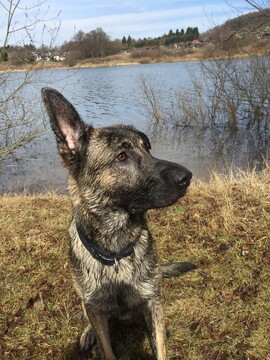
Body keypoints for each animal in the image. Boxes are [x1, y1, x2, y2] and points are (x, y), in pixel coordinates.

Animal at [41, 88, 194, 360]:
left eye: (148, 148)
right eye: (121, 156)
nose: (187, 177)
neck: (115, 252)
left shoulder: (152, 300)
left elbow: (160, 346)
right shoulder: (96, 309)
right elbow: (106, 348)